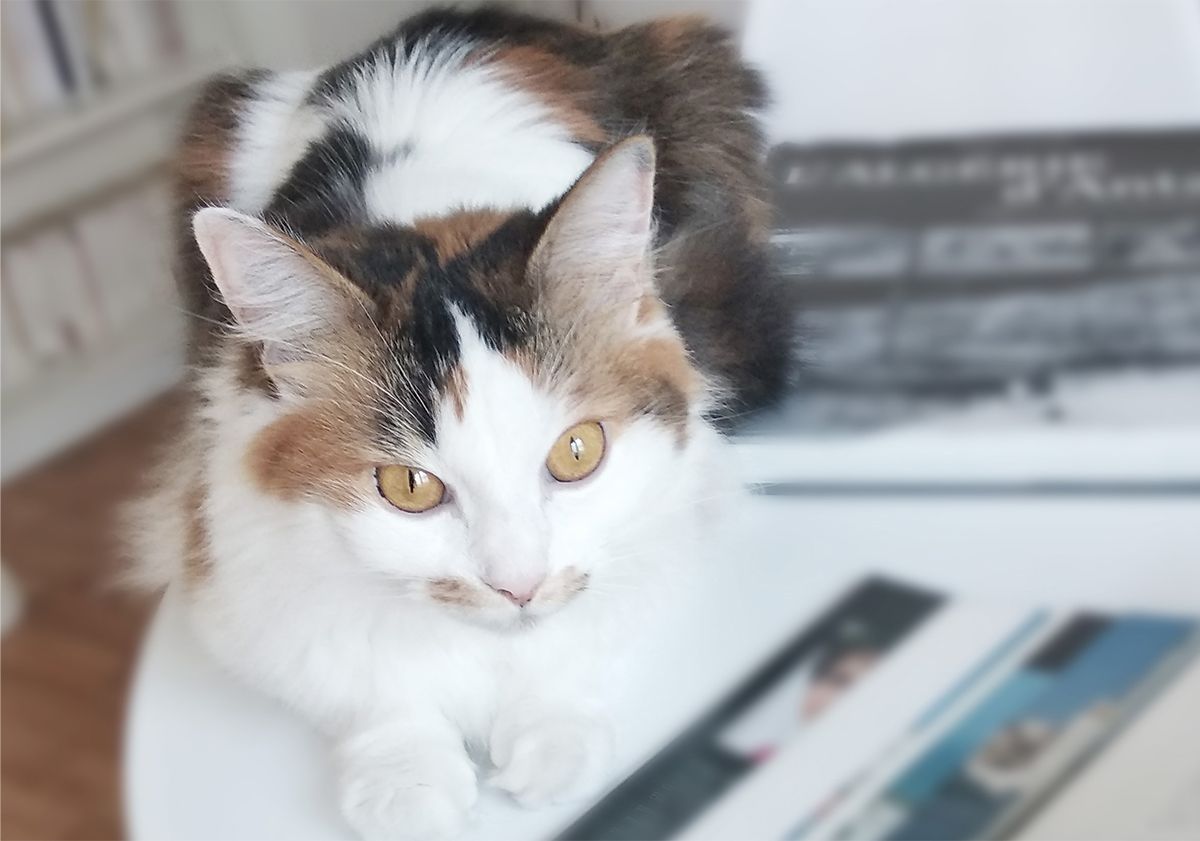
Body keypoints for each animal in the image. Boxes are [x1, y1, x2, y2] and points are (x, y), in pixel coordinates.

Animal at [129, 8, 787, 839]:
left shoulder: (681, 497)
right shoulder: (229, 544)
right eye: (408, 486)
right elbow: (359, 683)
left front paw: (550, 734)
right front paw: (405, 781)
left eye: (577, 451)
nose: (518, 584)